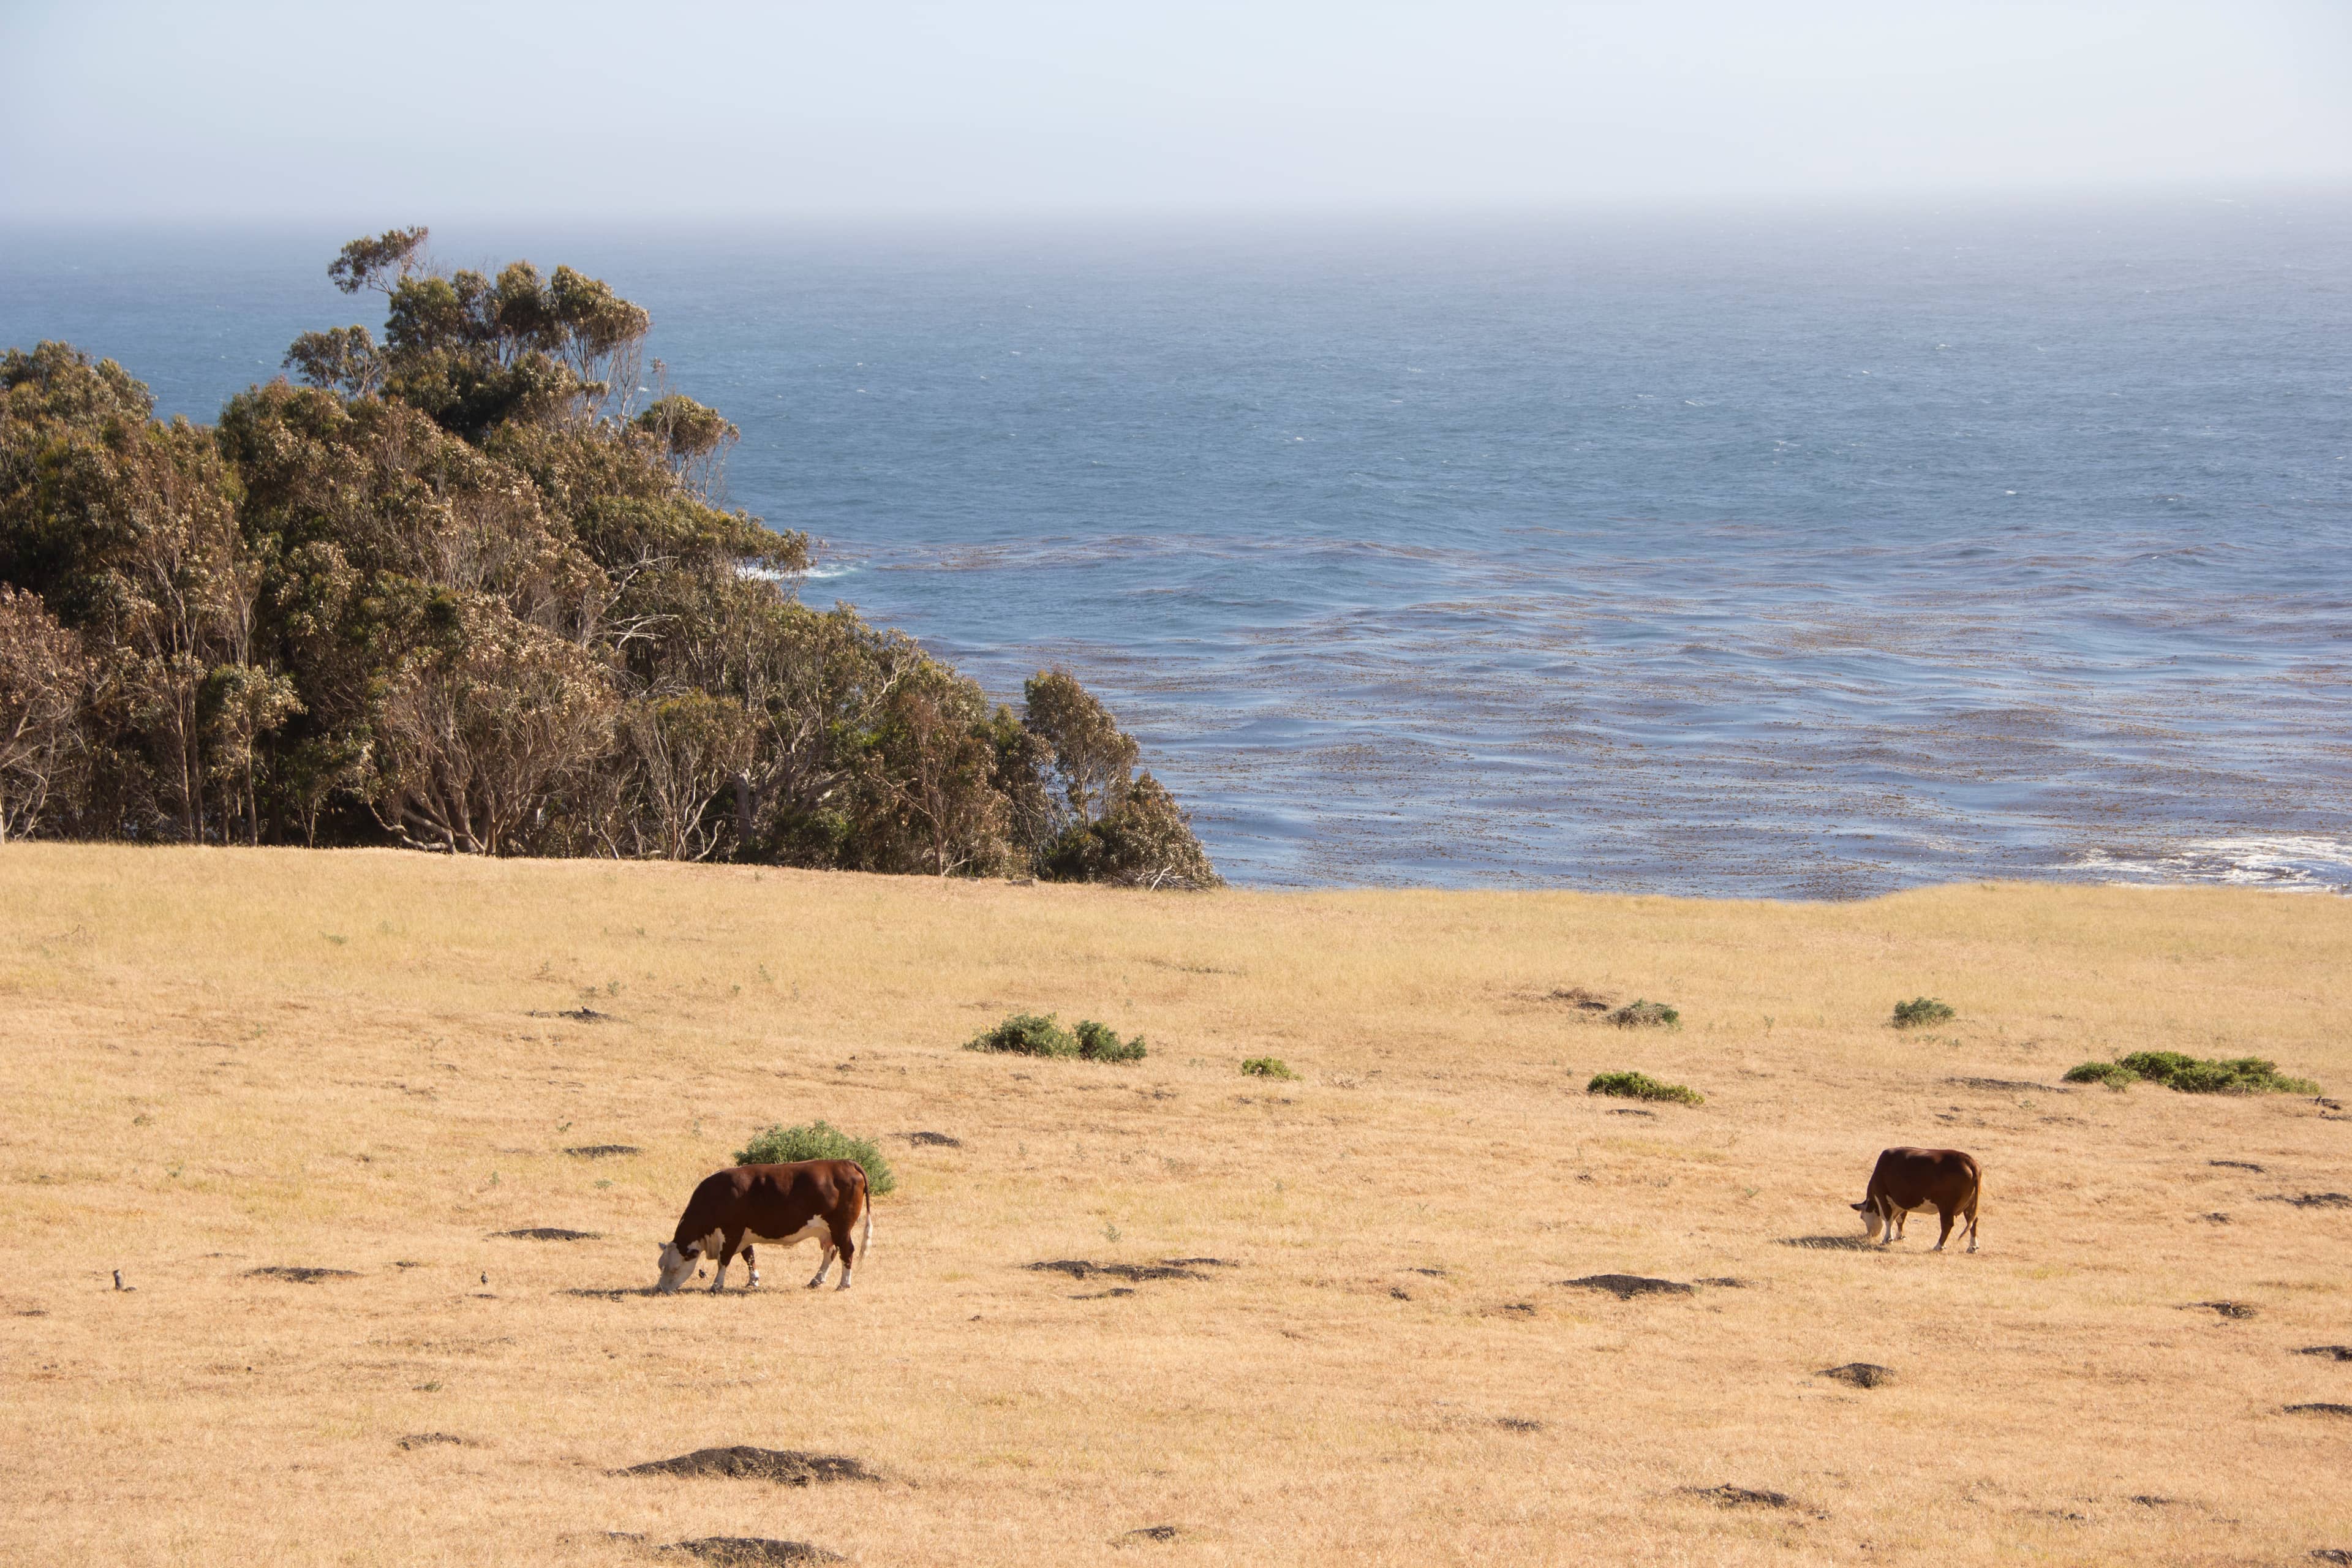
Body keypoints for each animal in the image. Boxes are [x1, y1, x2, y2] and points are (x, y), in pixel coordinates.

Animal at [654, 1160, 871, 1294]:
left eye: (675, 1268)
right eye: (661, 1266)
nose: (660, 1289)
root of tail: (845, 1162)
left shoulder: (732, 1232)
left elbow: (724, 1260)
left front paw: (717, 1285)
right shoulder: (743, 1233)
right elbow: (749, 1256)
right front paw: (753, 1280)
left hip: (841, 1229)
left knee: (847, 1251)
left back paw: (844, 1284)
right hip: (827, 1231)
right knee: (831, 1252)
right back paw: (816, 1280)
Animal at [1852, 1147, 1981, 1252]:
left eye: (1862, 1217)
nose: (1869, 1235)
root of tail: (1968, 1160)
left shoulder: (1882, 1195)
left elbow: (1889, 1218)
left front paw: (1888, 1239)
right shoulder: (1903, 1201)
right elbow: (1901, 1219)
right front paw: (1900, 1236)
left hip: (1946, 1207)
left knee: (1947, 1224)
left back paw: (1939, 1246)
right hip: (1971, 1205)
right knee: (1973, 1221)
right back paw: (1972, 1247)